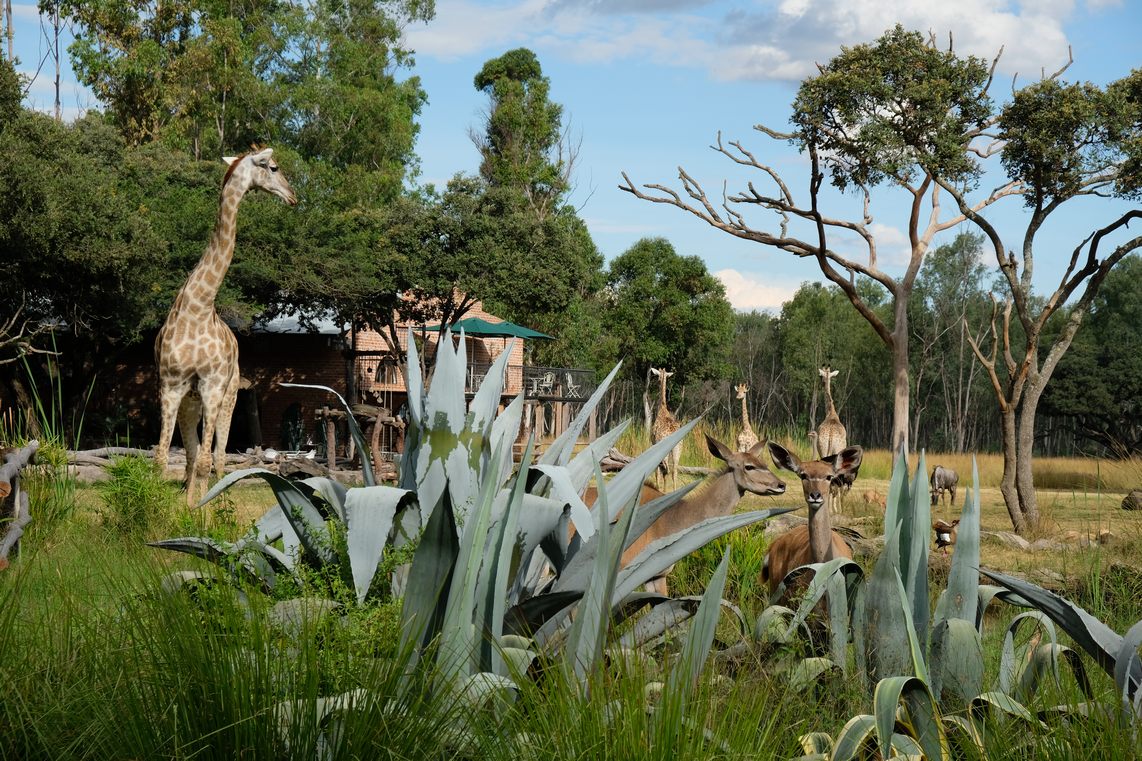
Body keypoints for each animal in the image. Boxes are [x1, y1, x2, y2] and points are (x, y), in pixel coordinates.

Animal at [154, 148, 297, 503]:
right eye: (274, 168)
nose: (292, 196)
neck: (198, 307)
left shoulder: (212, 386)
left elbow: (207, 461)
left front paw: (202, 513)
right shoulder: (171, 386)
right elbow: (163, 458)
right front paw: (167, 510)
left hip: (228, 397)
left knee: (217, 459)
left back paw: (216, 505)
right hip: (191, 402)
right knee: (192, 456)